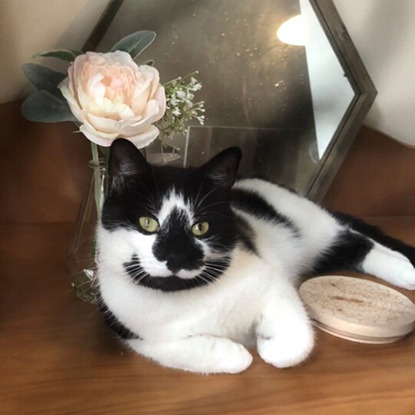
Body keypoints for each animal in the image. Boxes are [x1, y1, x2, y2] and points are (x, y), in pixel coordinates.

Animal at [96, 138, 415, 376]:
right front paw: (236, 352)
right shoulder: (131, 329)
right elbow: (182, 351)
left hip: (312, 228)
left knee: (357, 239)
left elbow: (294, 338)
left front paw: (268, 345)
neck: (187, 296)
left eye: (201, 227)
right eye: (147, 223)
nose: (176, 257)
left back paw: (406, 271)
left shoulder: (272, 284)